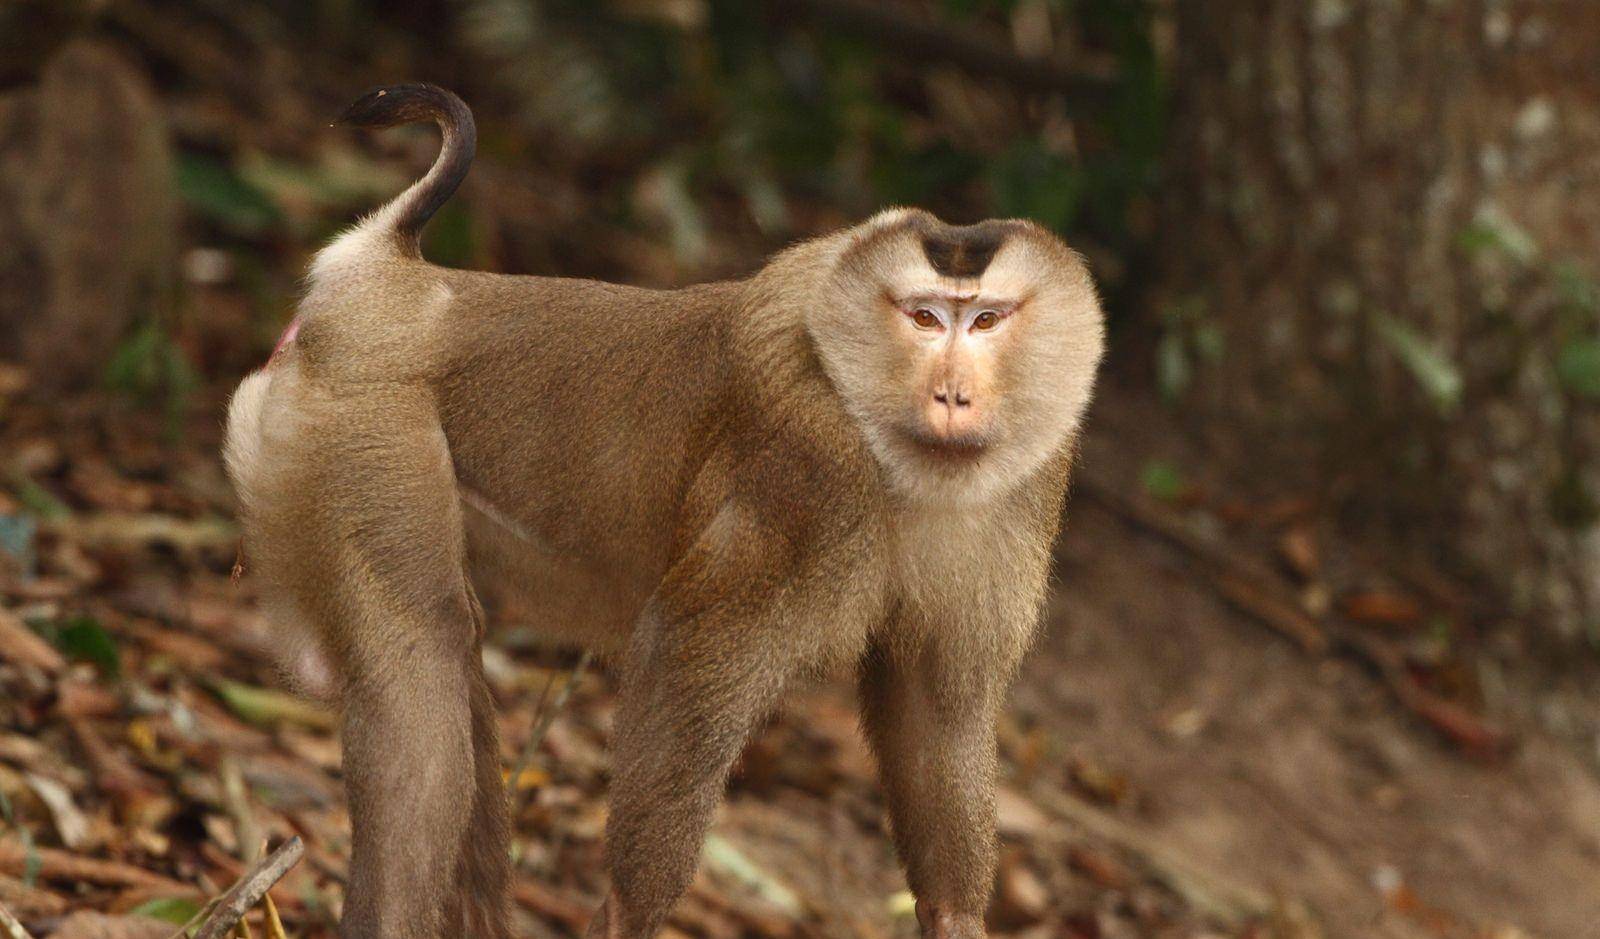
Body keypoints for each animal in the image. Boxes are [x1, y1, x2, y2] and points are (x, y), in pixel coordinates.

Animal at [222, 84, 1100, 934]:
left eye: (985, 319)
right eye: (924, 317)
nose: (952, 395)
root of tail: (390, 278)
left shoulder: (1030, 482)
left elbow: (937, 710)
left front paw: (957, 917)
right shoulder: (806, 467)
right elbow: (678, 664)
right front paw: (627, 911)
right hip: (363, 430)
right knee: (422, 680)